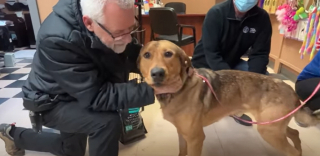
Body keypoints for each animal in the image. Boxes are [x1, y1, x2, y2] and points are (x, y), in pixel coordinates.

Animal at [139, 40, 308, 156]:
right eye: (146, 55)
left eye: (168, 54)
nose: (157, 73)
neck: (179, 90)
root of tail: (291, 90)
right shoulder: (182, 132)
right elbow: (181, 151)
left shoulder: (196, 138)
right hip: (275, 127)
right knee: (295, 133)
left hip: (270, 131)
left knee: (293, 150)